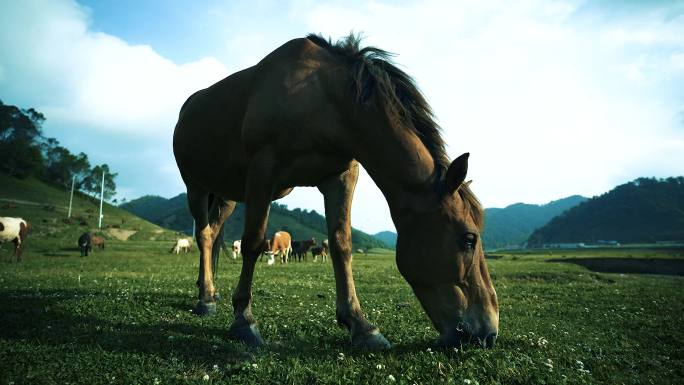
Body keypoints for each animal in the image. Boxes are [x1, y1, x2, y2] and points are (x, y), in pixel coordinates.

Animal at [174, 34, 500, 350]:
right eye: (469, 239)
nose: (488, 332)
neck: (323, 98)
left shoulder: (341, 176)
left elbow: (341, 244)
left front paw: (360, 325)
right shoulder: (263, 169)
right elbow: (253, 243)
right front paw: (244, 320)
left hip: (227, 195)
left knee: (213, 232)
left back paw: (210, 291)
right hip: (196, 187)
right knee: (204, 235)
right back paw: (205, 299)